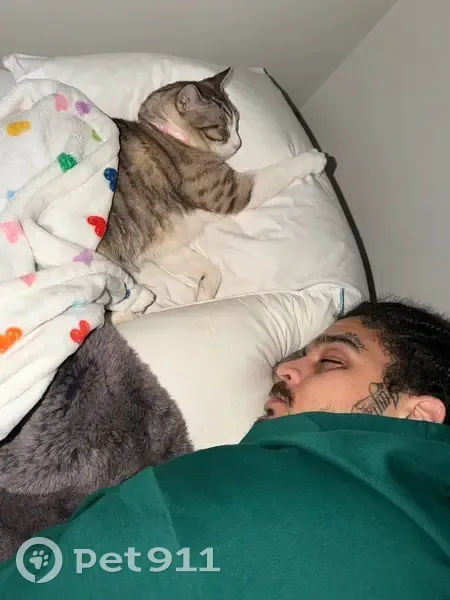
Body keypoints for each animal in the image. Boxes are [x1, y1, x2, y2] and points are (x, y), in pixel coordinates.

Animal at [98, 67, 327, 305]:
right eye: (222, 130)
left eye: (237, 124)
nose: (238, 144)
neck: (171, 134)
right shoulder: (231, 192)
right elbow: (278, 171)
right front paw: (314, 159)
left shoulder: (164, 247)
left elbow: (212, 270)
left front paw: (203, 297)